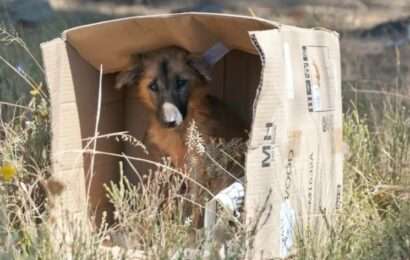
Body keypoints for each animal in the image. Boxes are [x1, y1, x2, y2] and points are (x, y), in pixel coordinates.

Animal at [114, 46, 247, 228]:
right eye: (153, 86)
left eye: (181, 82)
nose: (170, 122)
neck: (177, 133)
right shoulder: (165, 166)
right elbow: (167, 197)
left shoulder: (198, 168)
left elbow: (195, 206)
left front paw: (191, 229)